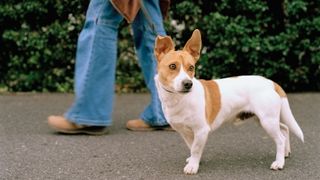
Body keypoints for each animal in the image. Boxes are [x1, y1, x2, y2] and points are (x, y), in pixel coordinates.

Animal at [154, 29, 304, 174]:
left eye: (191, 68)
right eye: (172, 66)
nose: (188, 84)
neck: (179, 99)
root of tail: (271, 83)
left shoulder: (201, 130)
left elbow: (196, 149)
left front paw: (193, 166)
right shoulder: (185, 132)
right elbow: (192, 147)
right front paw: (194, 161)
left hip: (267, 121)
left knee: (280, 139)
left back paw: (279, 163)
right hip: (263, 119)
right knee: (284, 129)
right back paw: (285, 153)